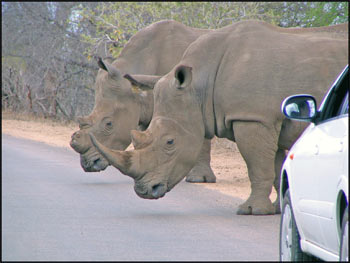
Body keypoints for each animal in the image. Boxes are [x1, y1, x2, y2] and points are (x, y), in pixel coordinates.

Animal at [89, 20, 348, 214]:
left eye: (170, 142)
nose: (144, 191)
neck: (199, 84)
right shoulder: (266, 118)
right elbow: (274, 165)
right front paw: (277, 209)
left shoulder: (252, 118)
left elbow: (257, 165)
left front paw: (252, 210)